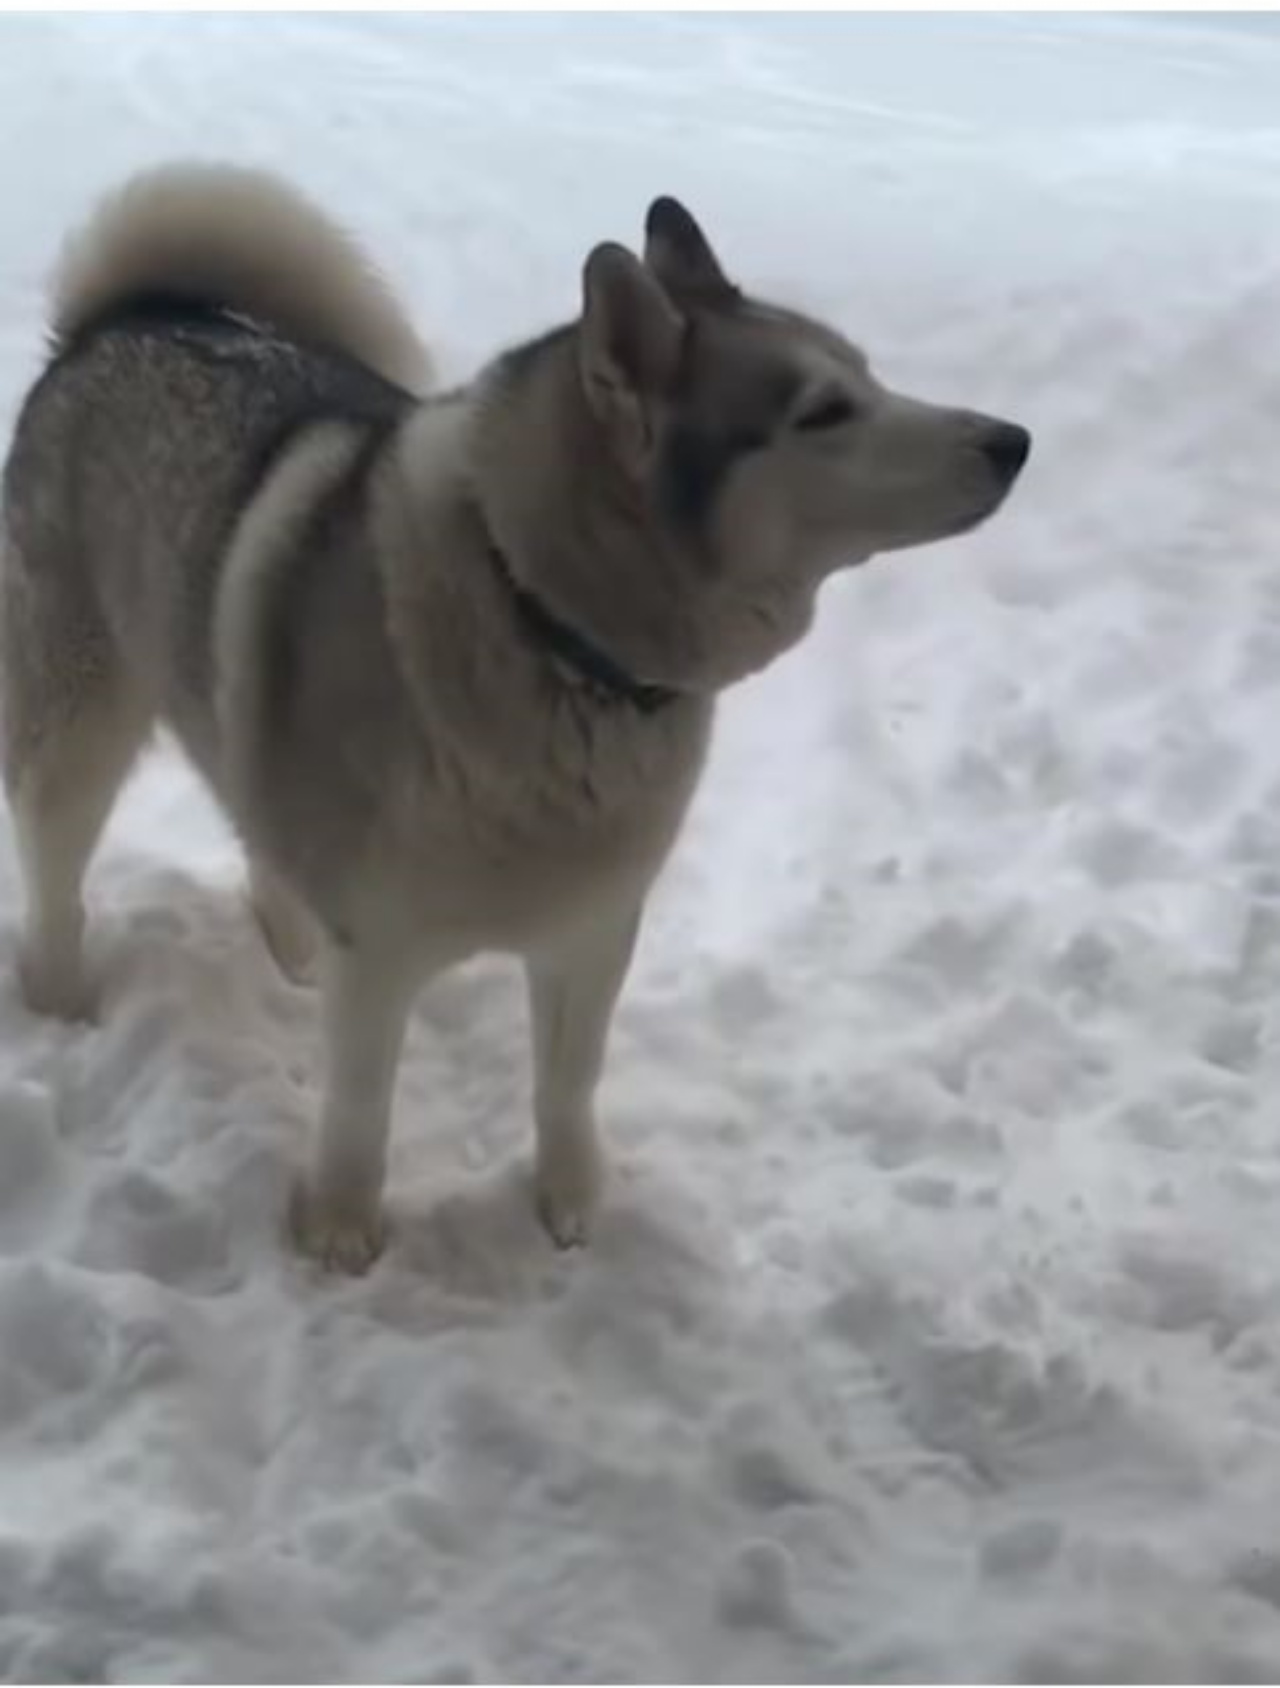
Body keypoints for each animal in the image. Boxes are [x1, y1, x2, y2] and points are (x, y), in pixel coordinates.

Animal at [0, 167, 1033, 1269]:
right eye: (825, 410)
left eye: (868, 378)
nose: (1012, 441)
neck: (551, 634)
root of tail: (126, 317)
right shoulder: (380, 950)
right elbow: (361, 1104)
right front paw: (341, 1230)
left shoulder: (595, 926)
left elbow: (568, 1079)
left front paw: (570, 1204)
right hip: (77, 725)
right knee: (57, 875)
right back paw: (62, 1001)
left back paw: (287, 949)